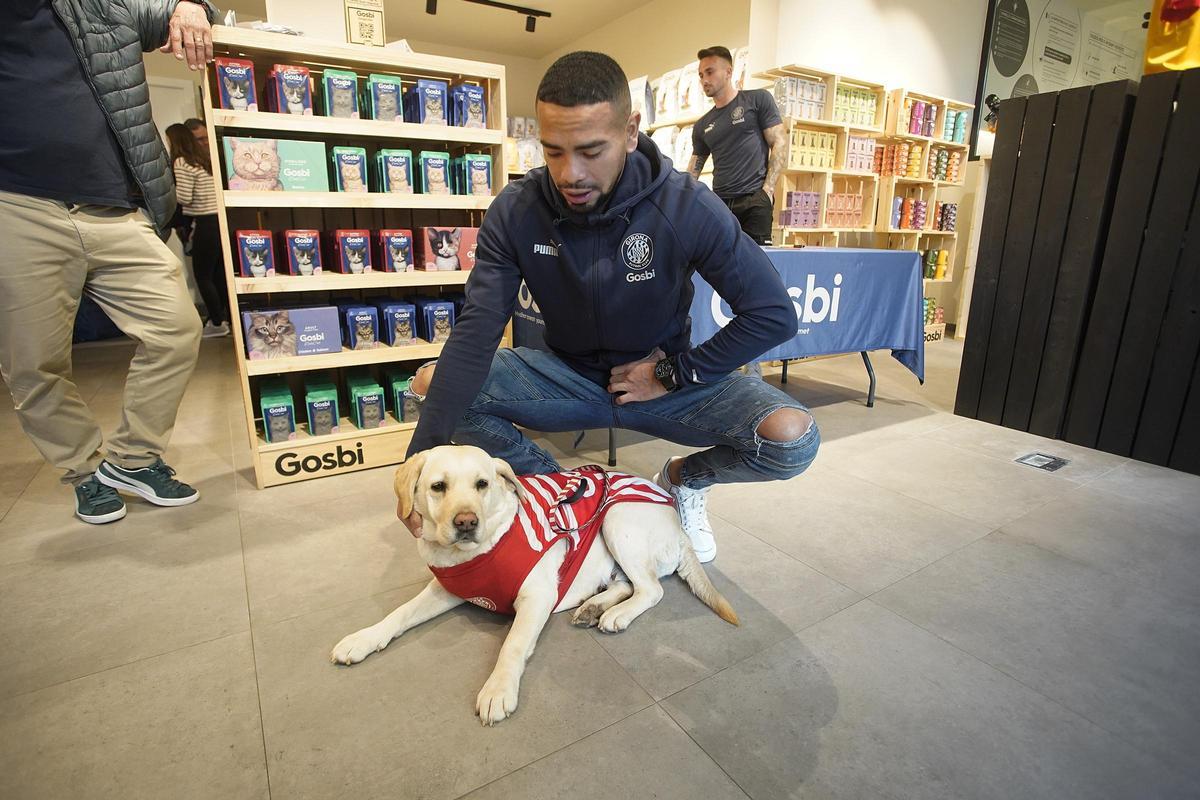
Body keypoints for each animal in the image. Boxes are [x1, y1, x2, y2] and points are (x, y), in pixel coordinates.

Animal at [331, 445, 737, 726]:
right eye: (438, 487)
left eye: (482, 484)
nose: (466, 522)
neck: (483, 546)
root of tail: (676, 522)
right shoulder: (447, 587)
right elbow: (399, 613)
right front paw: (364, 638)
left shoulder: (537, 597)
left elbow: (511, 645)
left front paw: (498, 689)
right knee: (627, 584)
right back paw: (594, 607)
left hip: (618, 518)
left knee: (652, 589)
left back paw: (615, 615)